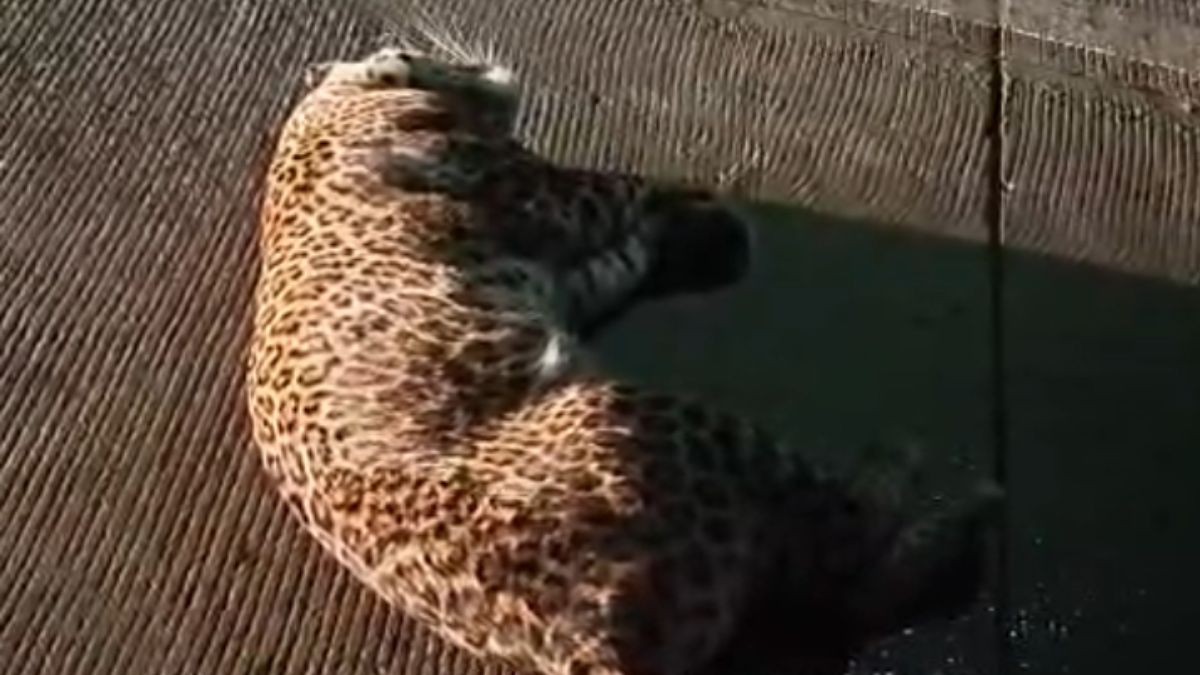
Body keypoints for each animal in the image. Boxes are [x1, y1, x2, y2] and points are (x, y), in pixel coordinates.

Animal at [245, 42, 1002, 675]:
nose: (494, 67)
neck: (327, 109)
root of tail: (595, 644)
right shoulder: (547, 193)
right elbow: (628, 184)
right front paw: (712, 211)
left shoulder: (564, 261)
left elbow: (624, 256)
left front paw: (697, 229)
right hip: (668, 426)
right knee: (846, 551)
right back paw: (940, 482)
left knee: (843, 591)